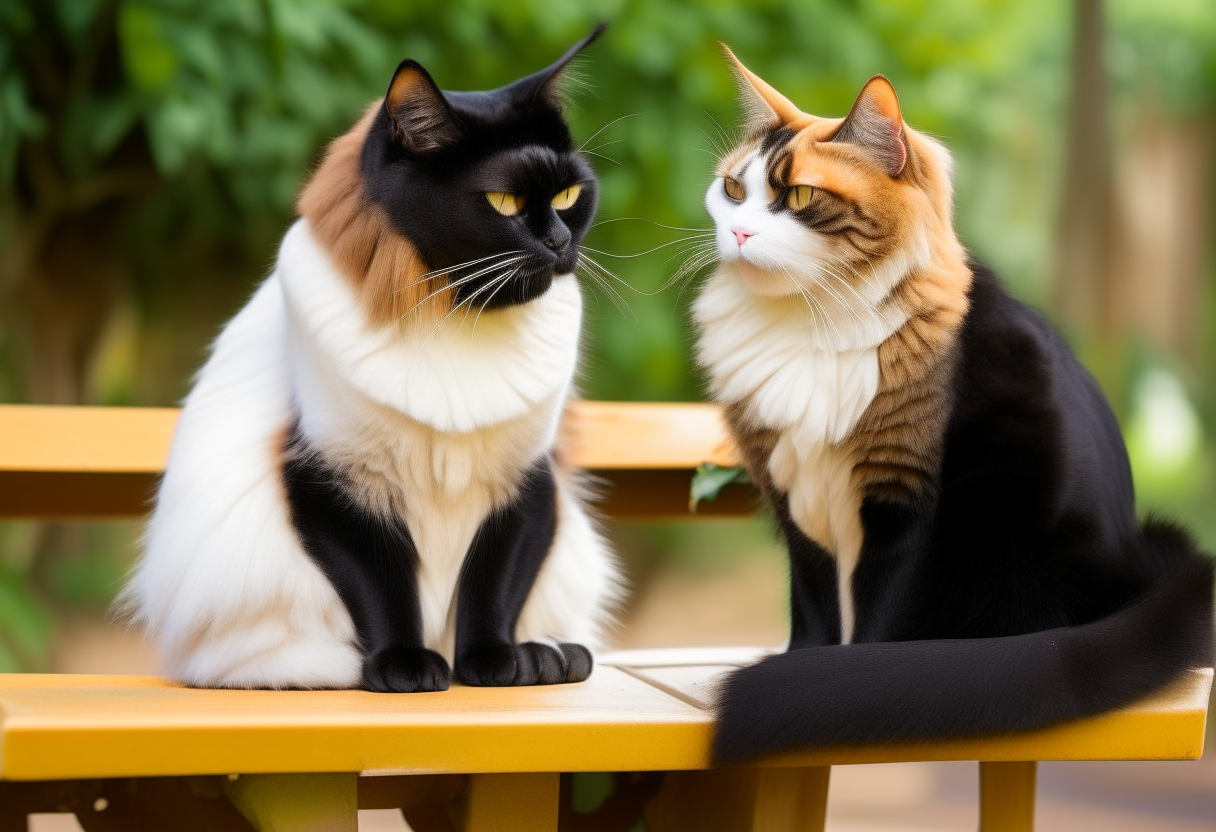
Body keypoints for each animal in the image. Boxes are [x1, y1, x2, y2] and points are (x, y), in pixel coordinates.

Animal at [119, 26, 622, 690]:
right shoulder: (332, 480)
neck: (458, 316)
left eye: (568, 194)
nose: (560, 243)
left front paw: (490, 666)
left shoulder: (526, 480)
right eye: (503, 201)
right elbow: (383, 587)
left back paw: (543, 658)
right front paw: (407, 668)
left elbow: (493, 588)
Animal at [695, 47, 1216, 759]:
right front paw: (806, 665)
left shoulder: (905, 502)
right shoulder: (795, 504)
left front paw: (844, 690)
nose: (741, 233)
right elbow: (815, 612)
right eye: (733, 191)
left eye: (799, 195)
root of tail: (1135, 576)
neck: (805, 325)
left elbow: (878, 625)